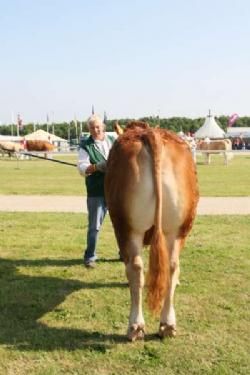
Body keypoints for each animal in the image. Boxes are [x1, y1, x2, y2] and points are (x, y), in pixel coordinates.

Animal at [105, 122, 199, 342]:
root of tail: (151, 134)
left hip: (127, 227)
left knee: (136, 267)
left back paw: (135, 326)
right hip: (177, 228)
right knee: (171, 266)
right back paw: (167, 324)